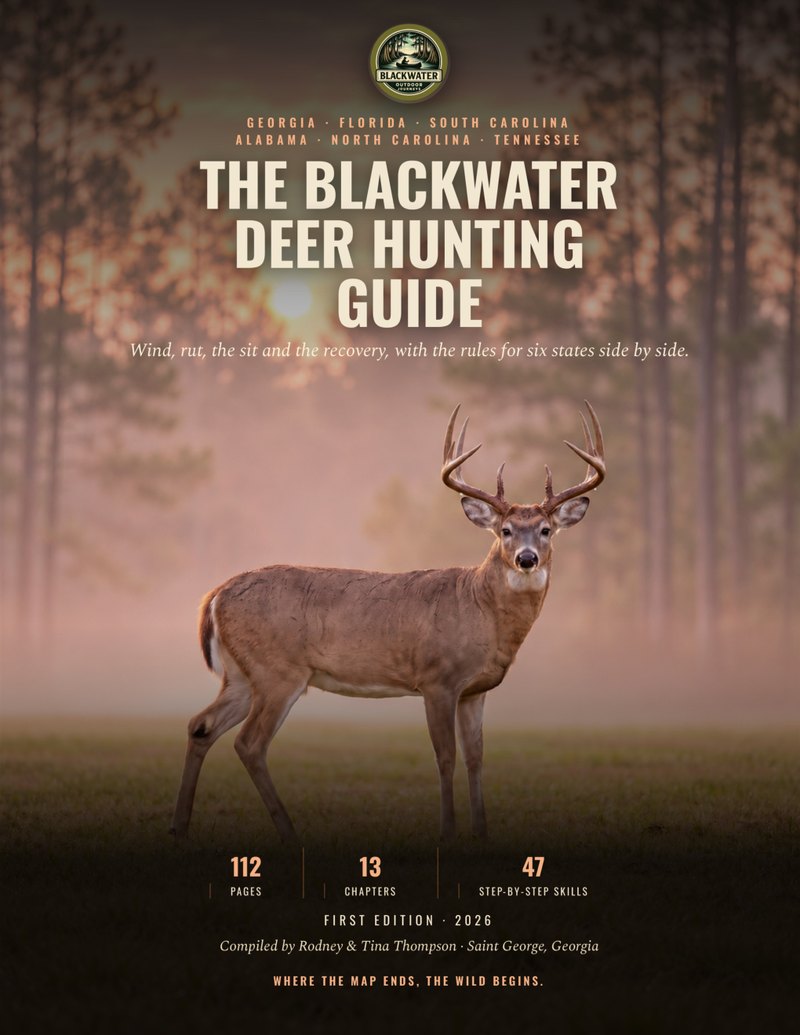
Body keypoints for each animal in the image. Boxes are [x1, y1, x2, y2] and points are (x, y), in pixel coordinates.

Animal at [170, 402, 605, 843]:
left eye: (546, 530)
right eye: (506, 531)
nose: (526, 558)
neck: (481, 610)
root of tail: (215, 595)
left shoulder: (475, 691)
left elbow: (476, 758)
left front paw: (481, 833)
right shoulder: (437, 679)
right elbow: (446, 757)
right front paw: (447, 831)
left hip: (243, 675)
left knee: (201, 725)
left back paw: (180, 827)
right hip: (277, 671)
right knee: (249, 743)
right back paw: (288, 831)